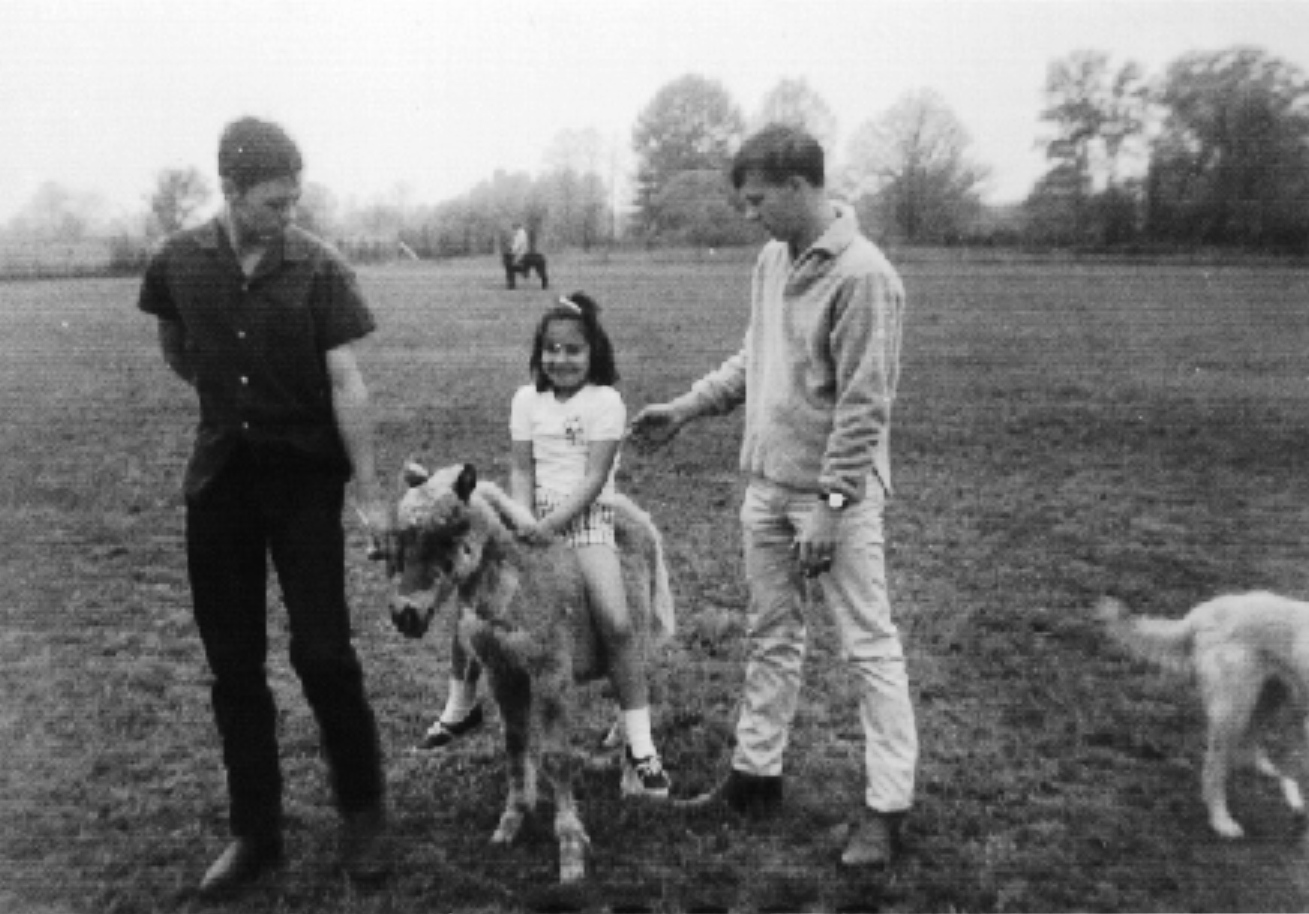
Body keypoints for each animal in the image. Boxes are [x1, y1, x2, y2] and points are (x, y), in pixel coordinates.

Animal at [1094, 586, 1309, 838]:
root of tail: (1203, 612)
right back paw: (1222, 822)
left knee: (1247, 739)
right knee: (1213, 771)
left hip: (1267, 696)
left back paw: (1265, 770)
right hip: (1233, 708)